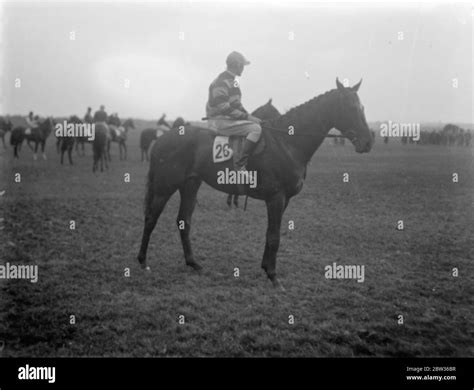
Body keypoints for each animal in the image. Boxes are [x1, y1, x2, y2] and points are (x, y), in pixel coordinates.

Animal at [137, 78, 374, 286]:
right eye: (351, 107)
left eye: (363, 107)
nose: (368, 141)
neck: (286, 142)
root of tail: (162, 137)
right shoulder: (276, 198)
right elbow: (275, 237)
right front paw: (274, 277)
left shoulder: (284, 200)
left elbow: (271, 235)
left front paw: (266, 268)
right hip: (165, 187)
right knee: (150, 219)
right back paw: (142, 261)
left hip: (190, 185)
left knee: (183, 221)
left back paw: (194, 263)